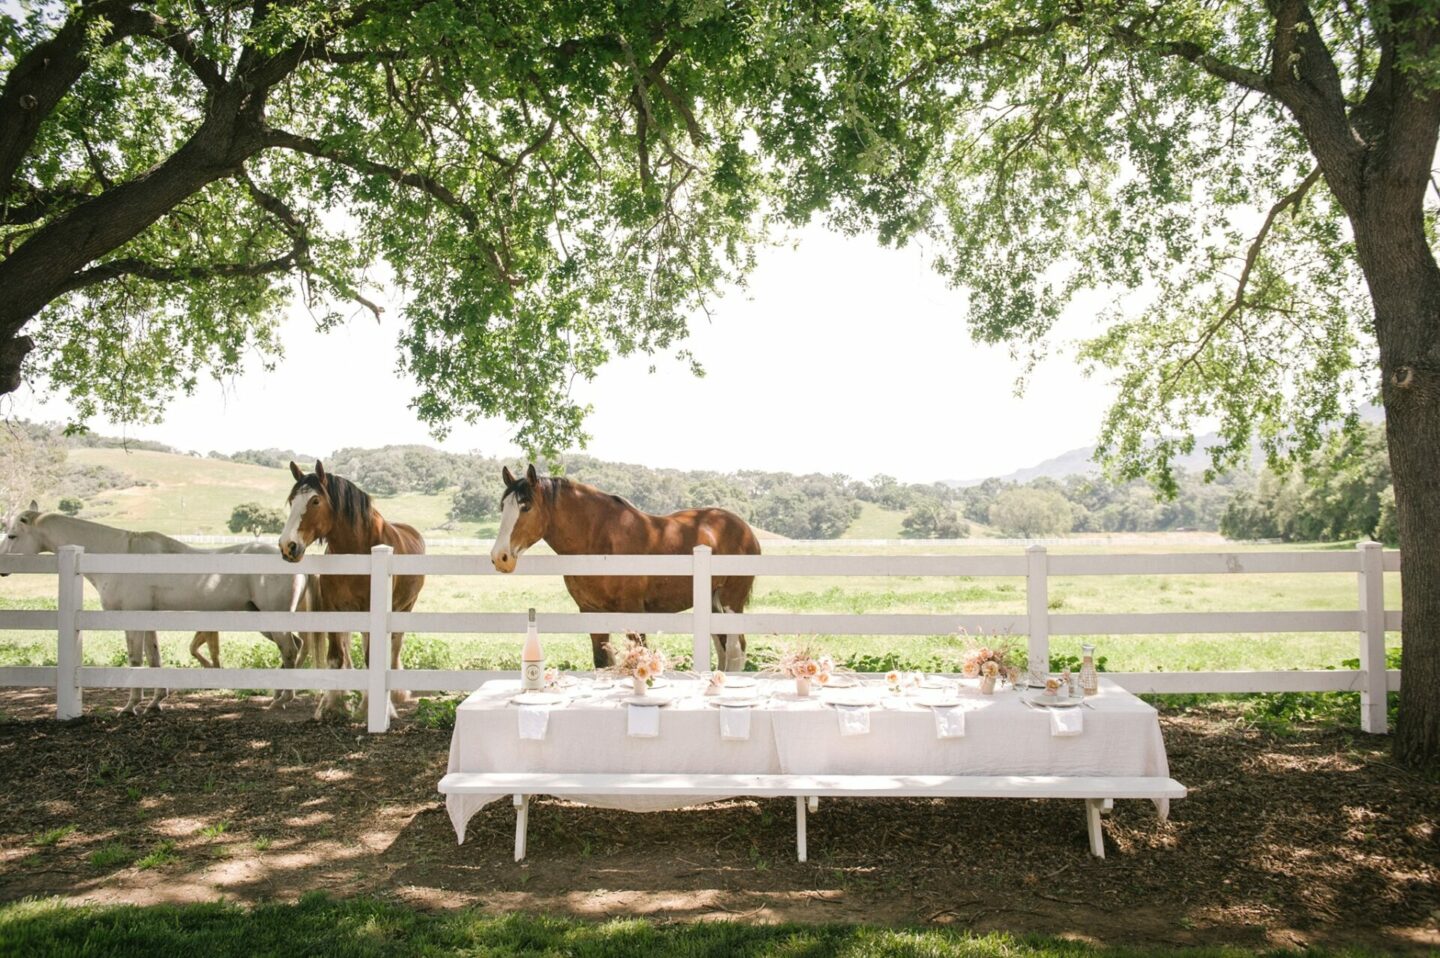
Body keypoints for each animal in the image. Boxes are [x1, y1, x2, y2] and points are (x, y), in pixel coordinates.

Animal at [1, 507, 306, 708]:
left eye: (12, 535)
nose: (3, 568)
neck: (120, 556)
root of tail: (291, 558)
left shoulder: (132, 618)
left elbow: (136, 659)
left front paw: (131, 706)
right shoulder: (147, 618)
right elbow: (153, 658)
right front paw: (156, 702)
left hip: (274, 619)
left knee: (290, 650)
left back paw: (283, 699)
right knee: (294, 646)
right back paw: (279, 694)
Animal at [275, 460, 420, 717]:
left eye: (315, 500)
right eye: (292, 500)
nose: (287, 546)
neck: (357, 549)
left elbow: (373, 658)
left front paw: (367, 708)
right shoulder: (334, 608)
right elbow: (336, 657)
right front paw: (333, 703)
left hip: (405, 608)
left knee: (395, 647)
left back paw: (396, 695)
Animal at [492, 463, 766, 665]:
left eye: (526, 506)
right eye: (503, 506)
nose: (500, 557)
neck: (600, 542)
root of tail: (745, 529)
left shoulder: (633, 611)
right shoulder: (592, 612)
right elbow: (603, 662)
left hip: (731, 602)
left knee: (736, 650)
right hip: (712, 603)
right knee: (723, 648)